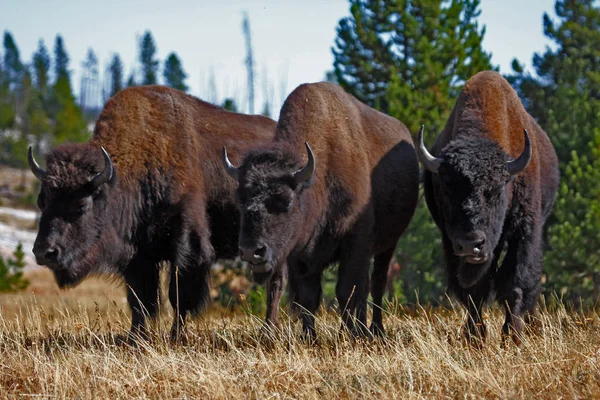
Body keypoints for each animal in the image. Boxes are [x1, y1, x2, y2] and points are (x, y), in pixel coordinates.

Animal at [28, 84, 276, 340]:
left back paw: (268, 330)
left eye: (81, 205)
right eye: (42, 201)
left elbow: (178, 296)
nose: (45, 252)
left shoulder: (187, 247)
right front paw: (135, 337)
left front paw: (176, 336)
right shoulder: (138, 256)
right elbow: (140, 300)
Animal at [221, 83, 418, 340]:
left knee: (376, 283)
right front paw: (309, 337)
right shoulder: (299, 255)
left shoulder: (355, 245)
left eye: (286, 201)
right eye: (240, 200)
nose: (251, 251)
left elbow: (347, 290)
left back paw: (375, 329)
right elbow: (309, 297)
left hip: (388, 245)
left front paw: (351, 334)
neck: (318, 180)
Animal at [420, 72, 560, 344]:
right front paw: (475, 338)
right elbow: (473, 291)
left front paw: (513, 337)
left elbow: (516, 283)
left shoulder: (524, 231)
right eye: (446, 190)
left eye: (495, 190)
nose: (470, 244)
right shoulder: (450, 240)